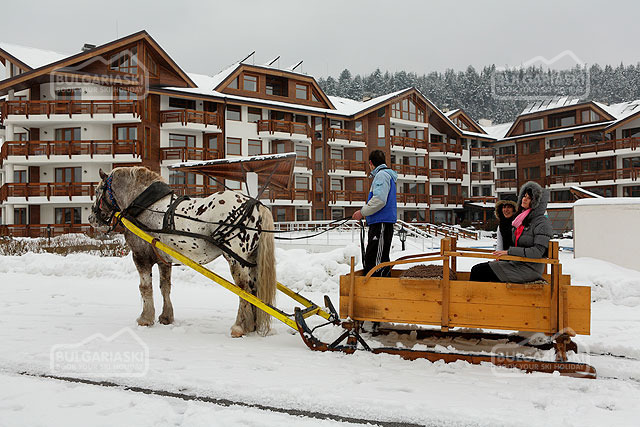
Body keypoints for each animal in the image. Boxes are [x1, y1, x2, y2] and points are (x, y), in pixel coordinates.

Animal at [88, 167, 276, 338]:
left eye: (97, 191)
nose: (91, 218)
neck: (146, 206)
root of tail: (256, 206)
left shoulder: (140, 256)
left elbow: (145, 287)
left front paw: (145, 318)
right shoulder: (163, 259)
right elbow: (165, 286)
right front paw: (166, 317)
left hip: (236, 259)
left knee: (244, 289)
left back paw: (239, 327)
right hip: (250, 259)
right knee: (254, 289)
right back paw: (251, 325)